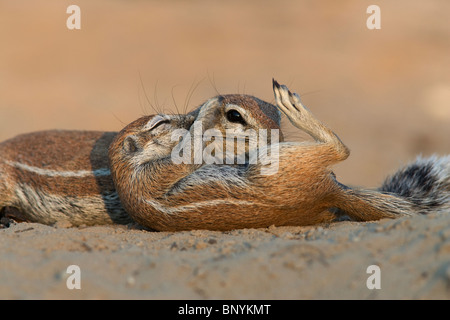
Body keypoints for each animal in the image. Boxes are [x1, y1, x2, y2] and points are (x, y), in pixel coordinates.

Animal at [109, 79, 450, 230]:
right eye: (161, 123)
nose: (187, 117)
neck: (127, 172)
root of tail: (328, 191)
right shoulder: (156, 173)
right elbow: (189, 152)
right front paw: (208, 110)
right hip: (271, 164)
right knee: (339, 148)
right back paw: (292, 104)